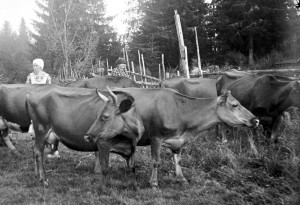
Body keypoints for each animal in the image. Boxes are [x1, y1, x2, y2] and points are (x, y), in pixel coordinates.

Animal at [85, 87, 260, 188]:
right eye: (235, 105)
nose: (255, 120)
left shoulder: (178, 139)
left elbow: (178, 159)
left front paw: (181, 178)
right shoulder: (156, 137)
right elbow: (156, 162)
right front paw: (154, 183)